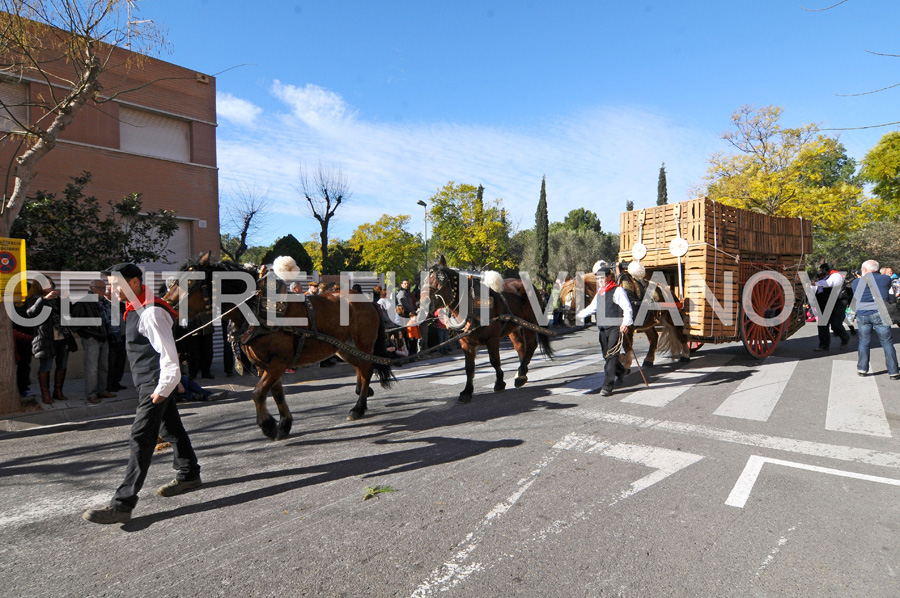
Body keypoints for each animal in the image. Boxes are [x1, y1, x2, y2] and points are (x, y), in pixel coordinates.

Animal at [164, 253, 394, 440]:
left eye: (191, 281)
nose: (167, 304)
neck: (256, 309)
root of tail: (368, 301)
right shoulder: (263, 364)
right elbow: (275, 393)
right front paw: (283, 424)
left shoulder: (279, 361)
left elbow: (258, 393)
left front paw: (268, 425)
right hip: (343, 349)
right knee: (360, 366)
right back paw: (361, 392)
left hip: (362, 344)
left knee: (366, 369)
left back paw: (359, 407)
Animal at [424, 256, 556, 404]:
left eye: (440, 279)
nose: (424, 302)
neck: (473, 303)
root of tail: (532, 286)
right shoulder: (466, 342)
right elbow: (469, 367)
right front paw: (467, 391)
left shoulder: (492, 339)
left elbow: (494, 360)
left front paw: (499, 383)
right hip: (514, 327)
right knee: (520, 346)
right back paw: (522, 372)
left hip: (531, 323)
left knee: (531, 345)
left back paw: (521, 373)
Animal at [560, 274, 692, 370]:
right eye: (563, 298)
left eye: (578, 297)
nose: (567, 319)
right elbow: (609, 349)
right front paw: (621, 359)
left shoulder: (627, 328)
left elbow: (626, 346)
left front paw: (626, 363)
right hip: (647, 324)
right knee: (654, 338)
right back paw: (649, 359)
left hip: (671, 318)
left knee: (680, 333)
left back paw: (685, 355)